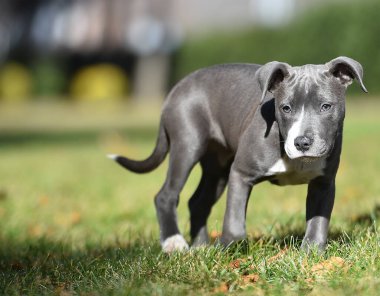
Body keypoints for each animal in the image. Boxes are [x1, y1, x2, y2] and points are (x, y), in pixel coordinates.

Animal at [108, 56, 366, 253]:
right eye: (286, 108)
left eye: (326, 106)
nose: (302, 142)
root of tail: (177, 88)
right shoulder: (241, 173)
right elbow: (233, 219)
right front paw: (231, 249)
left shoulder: (324, 182)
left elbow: (318, 221)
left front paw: (311, 253)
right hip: (187, 144)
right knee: (166, 195)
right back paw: (175, 243)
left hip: (217, 167)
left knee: (198, 202)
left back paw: (201, 247)